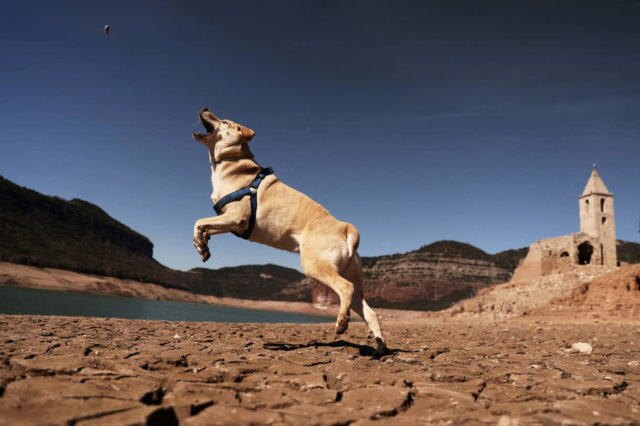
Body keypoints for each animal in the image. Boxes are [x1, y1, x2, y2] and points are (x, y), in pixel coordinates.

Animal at [192, 108, 388, 354]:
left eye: (224, 121)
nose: (204, 108)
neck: (231, 162)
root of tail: (345, 227)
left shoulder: (236, 217)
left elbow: (198, 220)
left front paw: (201, 242)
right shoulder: (230, 222)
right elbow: (203, 226)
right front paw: (202, 246)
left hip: (315, 266)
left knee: (345, 288)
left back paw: (341, 324)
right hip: (350, 276)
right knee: (370, 313)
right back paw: (380, 348)